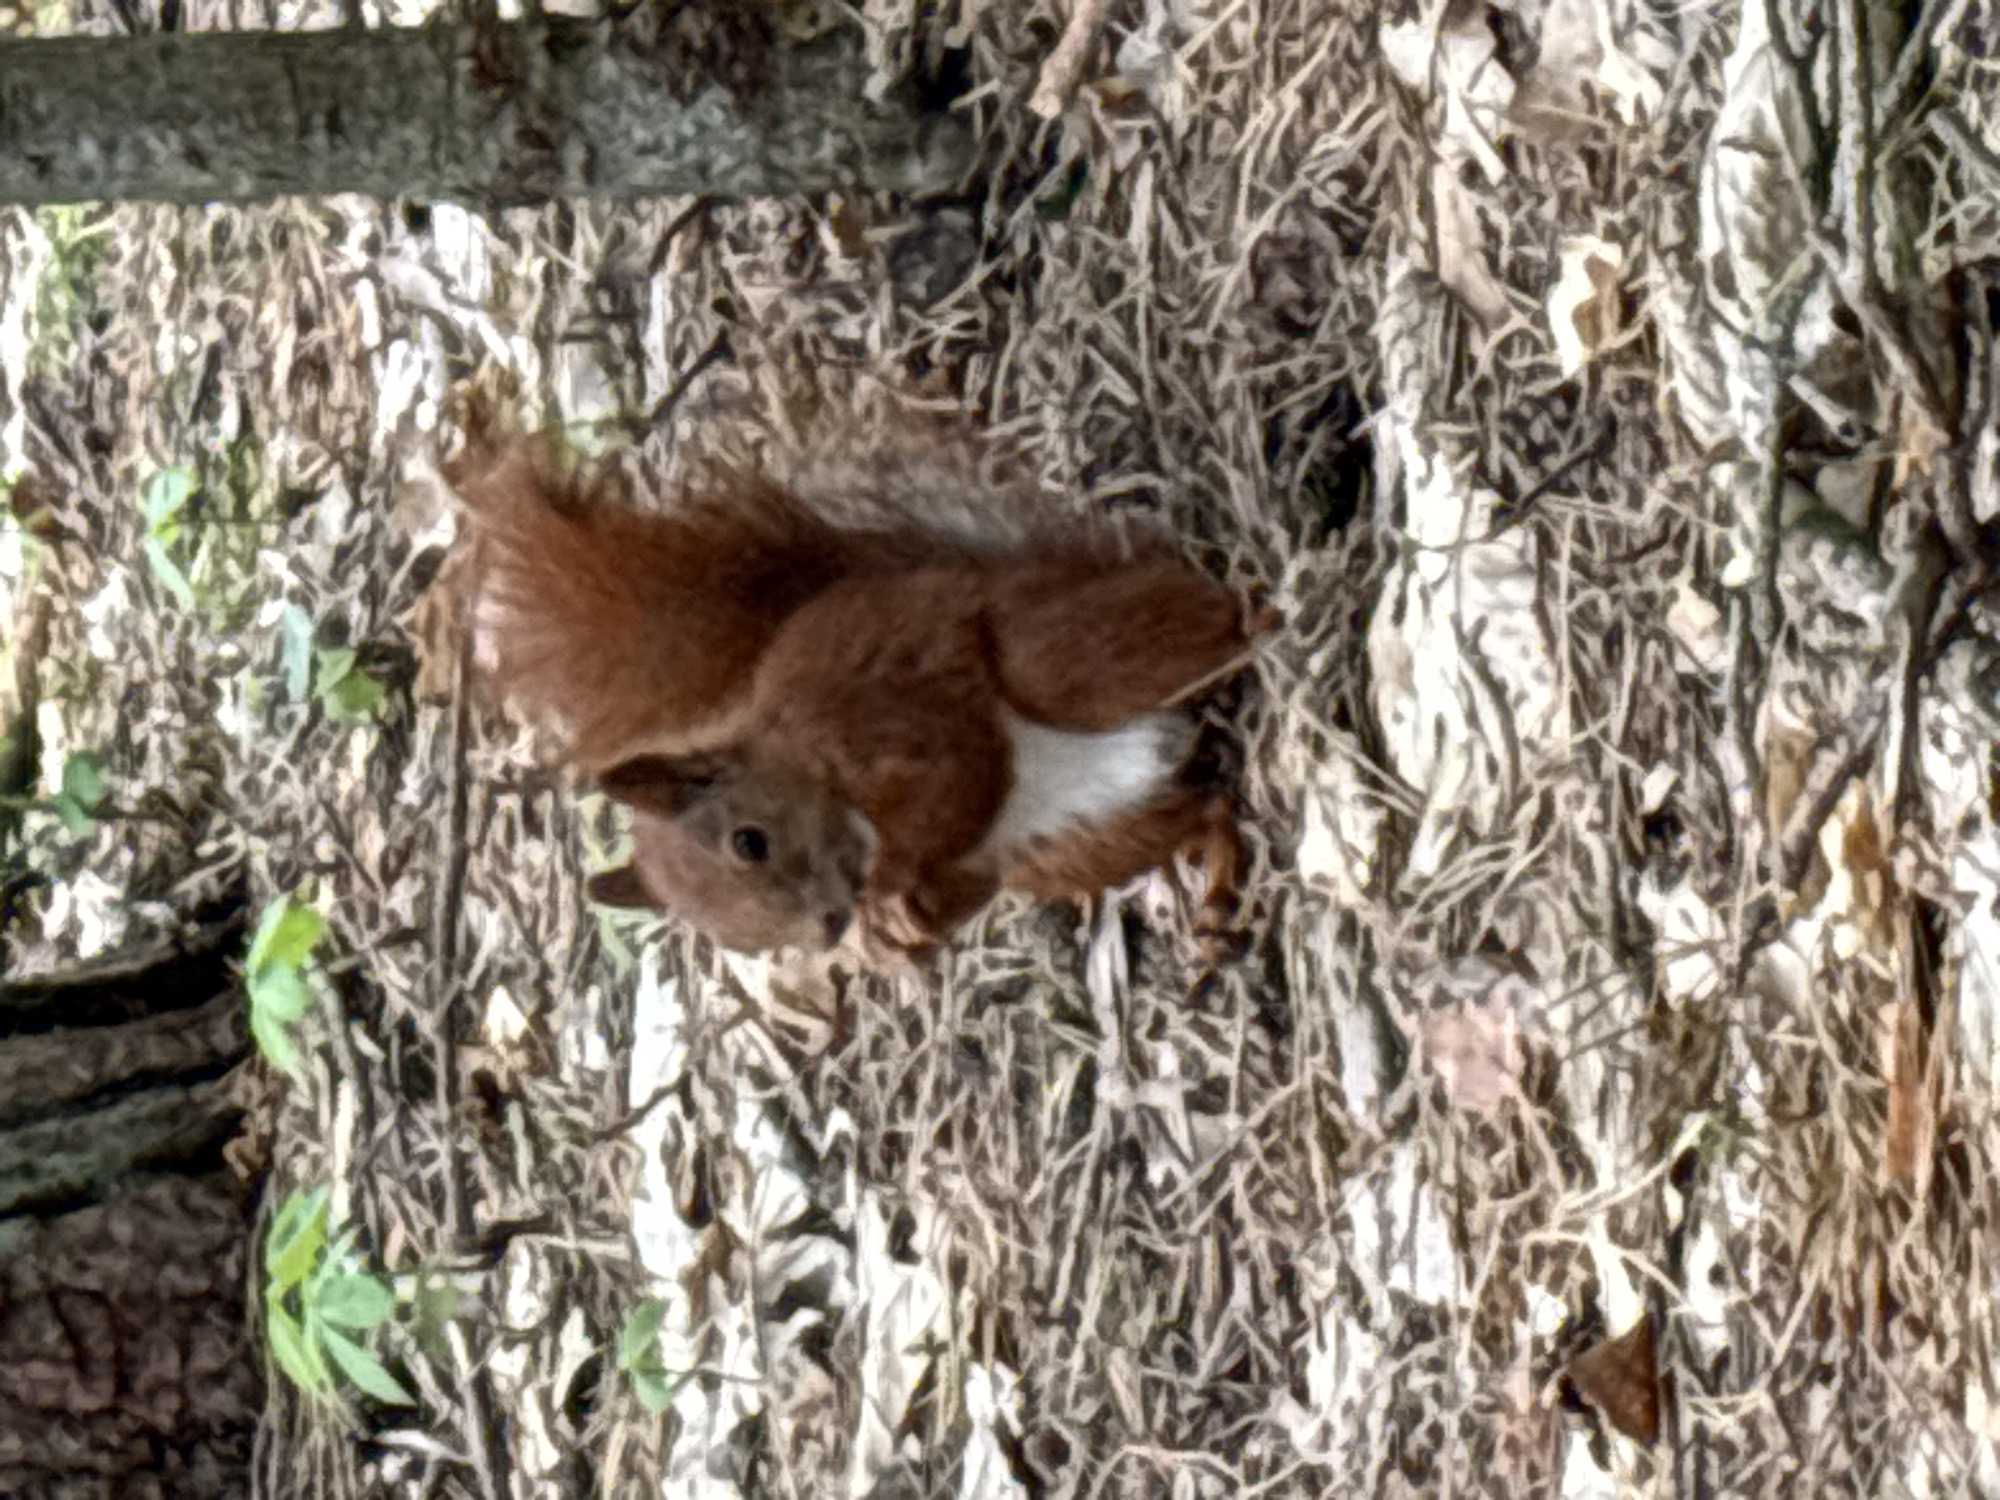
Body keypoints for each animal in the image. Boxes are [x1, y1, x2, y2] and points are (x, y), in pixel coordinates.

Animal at [445, 429, 1269, 964]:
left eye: (750, 841)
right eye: (743, 942)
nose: (834, 926)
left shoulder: (893, 717)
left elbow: (962, 779)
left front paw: (897, 909)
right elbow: (961, 881)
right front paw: (904, 936)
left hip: (1058, 660)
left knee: (1187, 635)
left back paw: (1261, 617)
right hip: (1075, 844)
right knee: (1203, 808)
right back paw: (1215, 901)